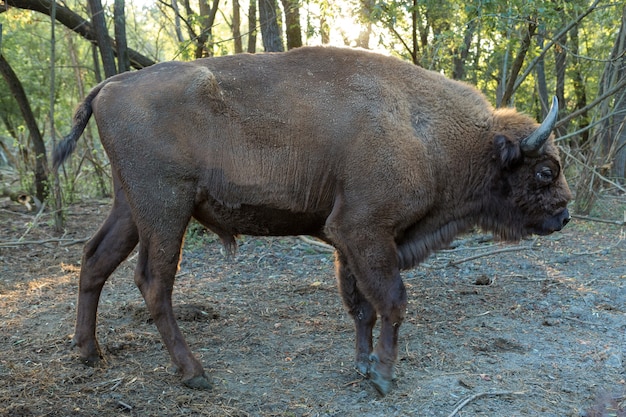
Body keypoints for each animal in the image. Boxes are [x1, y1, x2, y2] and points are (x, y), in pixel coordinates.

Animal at [54, 45, 572, 394]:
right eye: (545, 171)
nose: (564, 215)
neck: (424, 131)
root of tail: (111, 84)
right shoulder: (364, 231)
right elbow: (392, 301)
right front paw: (383, 377)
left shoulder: (347, 242)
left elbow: (362, 306)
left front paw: (363, 365)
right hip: (166, 210)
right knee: (153, 281)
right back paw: (194, 373)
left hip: (129, 207)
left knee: (95, 260)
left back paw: (89, 352)